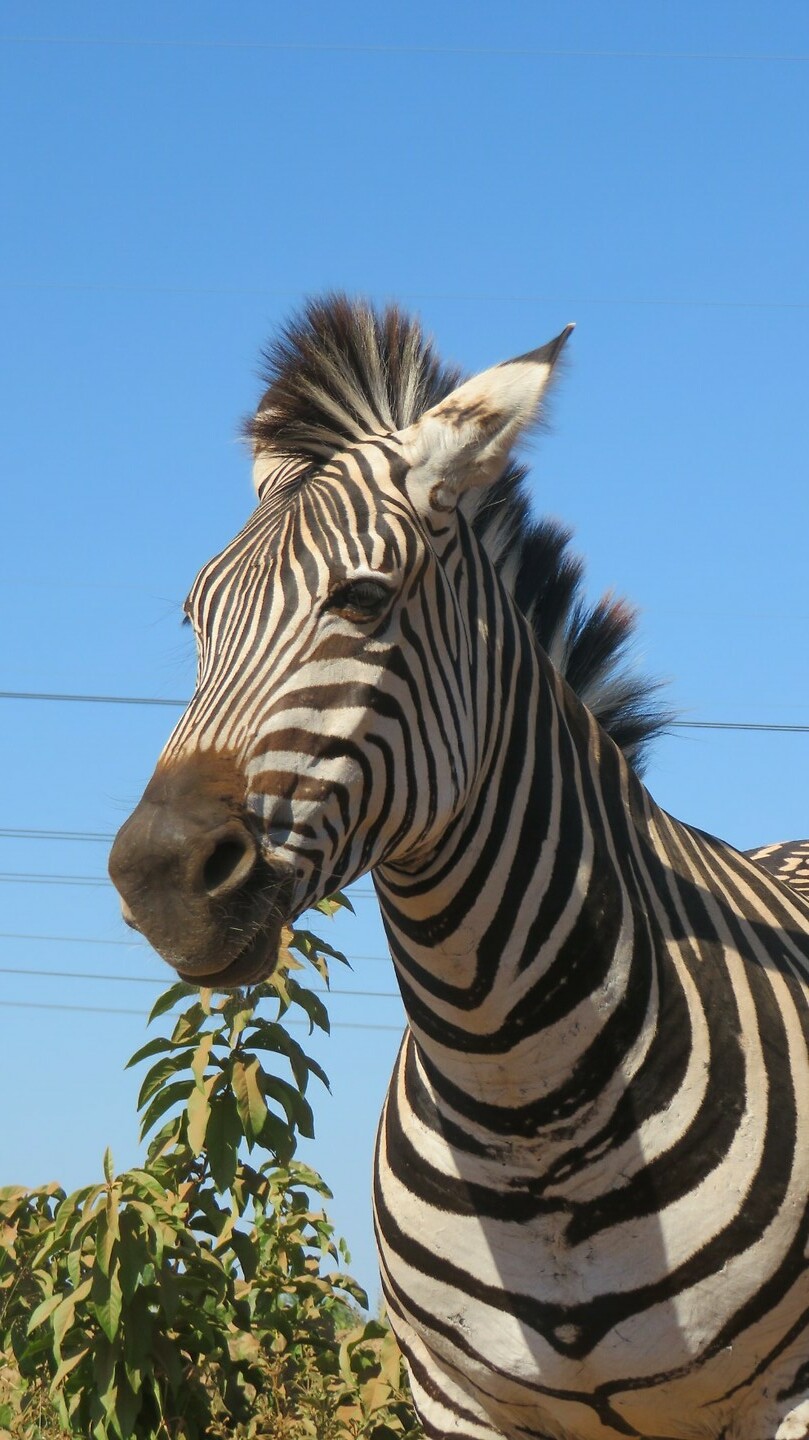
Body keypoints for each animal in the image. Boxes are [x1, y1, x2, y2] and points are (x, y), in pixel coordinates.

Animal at [109, 296, 809, 1440]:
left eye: (361, 598)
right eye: (194, 619)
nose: (156, 880)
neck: (521, 1096)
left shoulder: (786, 1397)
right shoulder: (452, 1399)